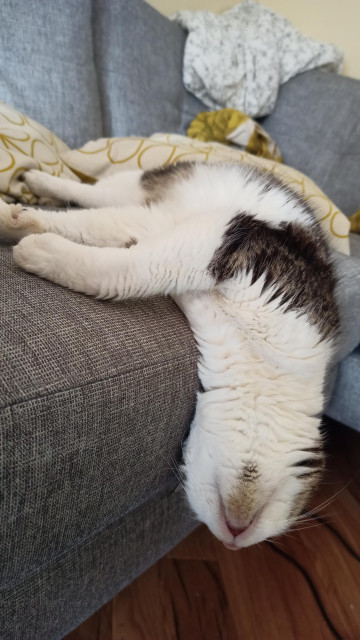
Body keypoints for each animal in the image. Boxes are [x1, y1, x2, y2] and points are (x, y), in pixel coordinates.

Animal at [0, 164, 338, 552]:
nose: (233, 543)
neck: (256, 360)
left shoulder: (171, 233)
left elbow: (109, 243)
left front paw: (25, 229)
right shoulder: (229, 238)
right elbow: (128, 272)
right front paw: (34, 245)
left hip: (144, 208)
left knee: (96, 209)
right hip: (140, 187)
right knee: (89, 190)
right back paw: (36, 181)